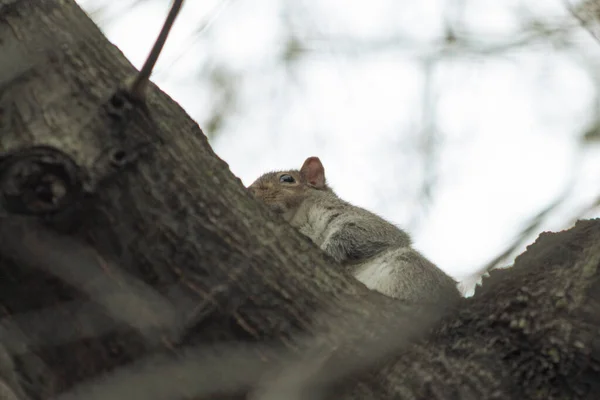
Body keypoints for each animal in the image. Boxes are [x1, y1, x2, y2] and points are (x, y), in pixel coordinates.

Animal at [247, 156, 460, 304]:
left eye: (287, 179)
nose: (250, 191)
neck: (299, 218)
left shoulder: (367, 222)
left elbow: (360, 234)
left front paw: (329, 250)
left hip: (409, 268)